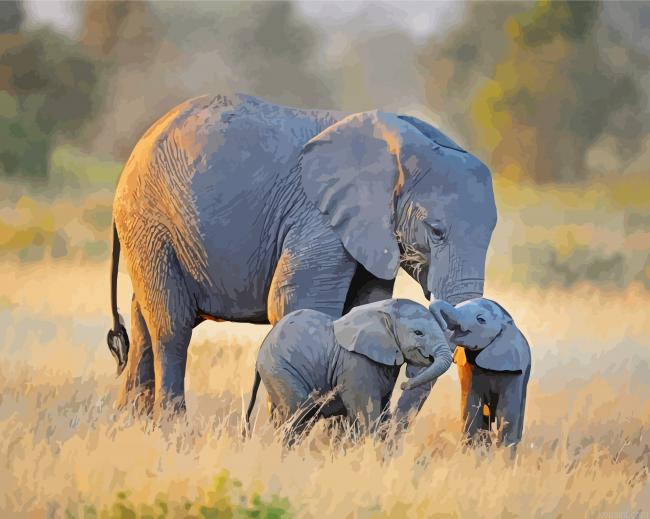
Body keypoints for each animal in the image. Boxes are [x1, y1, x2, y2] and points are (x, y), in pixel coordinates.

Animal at [105, 93, 497, 416]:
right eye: (436, 231)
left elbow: (364, 306)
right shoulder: (318, 219)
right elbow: (297, 303)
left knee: (143, 319)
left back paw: (130, 426)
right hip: (149, 220)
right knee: (171, 326)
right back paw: (172, 430)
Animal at [245, 299, 452, 439]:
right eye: (418, 333)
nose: (404, 384)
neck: (383, 310)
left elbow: (382, 410)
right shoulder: (356, 363)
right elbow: (367, 414)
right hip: (281, 370)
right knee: (298, 415)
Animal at [408, 298, 531, 446]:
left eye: (481, 320)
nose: (404, 384)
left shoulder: (513, 369)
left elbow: (507, 414)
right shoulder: (467, 366)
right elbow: (471, 409)